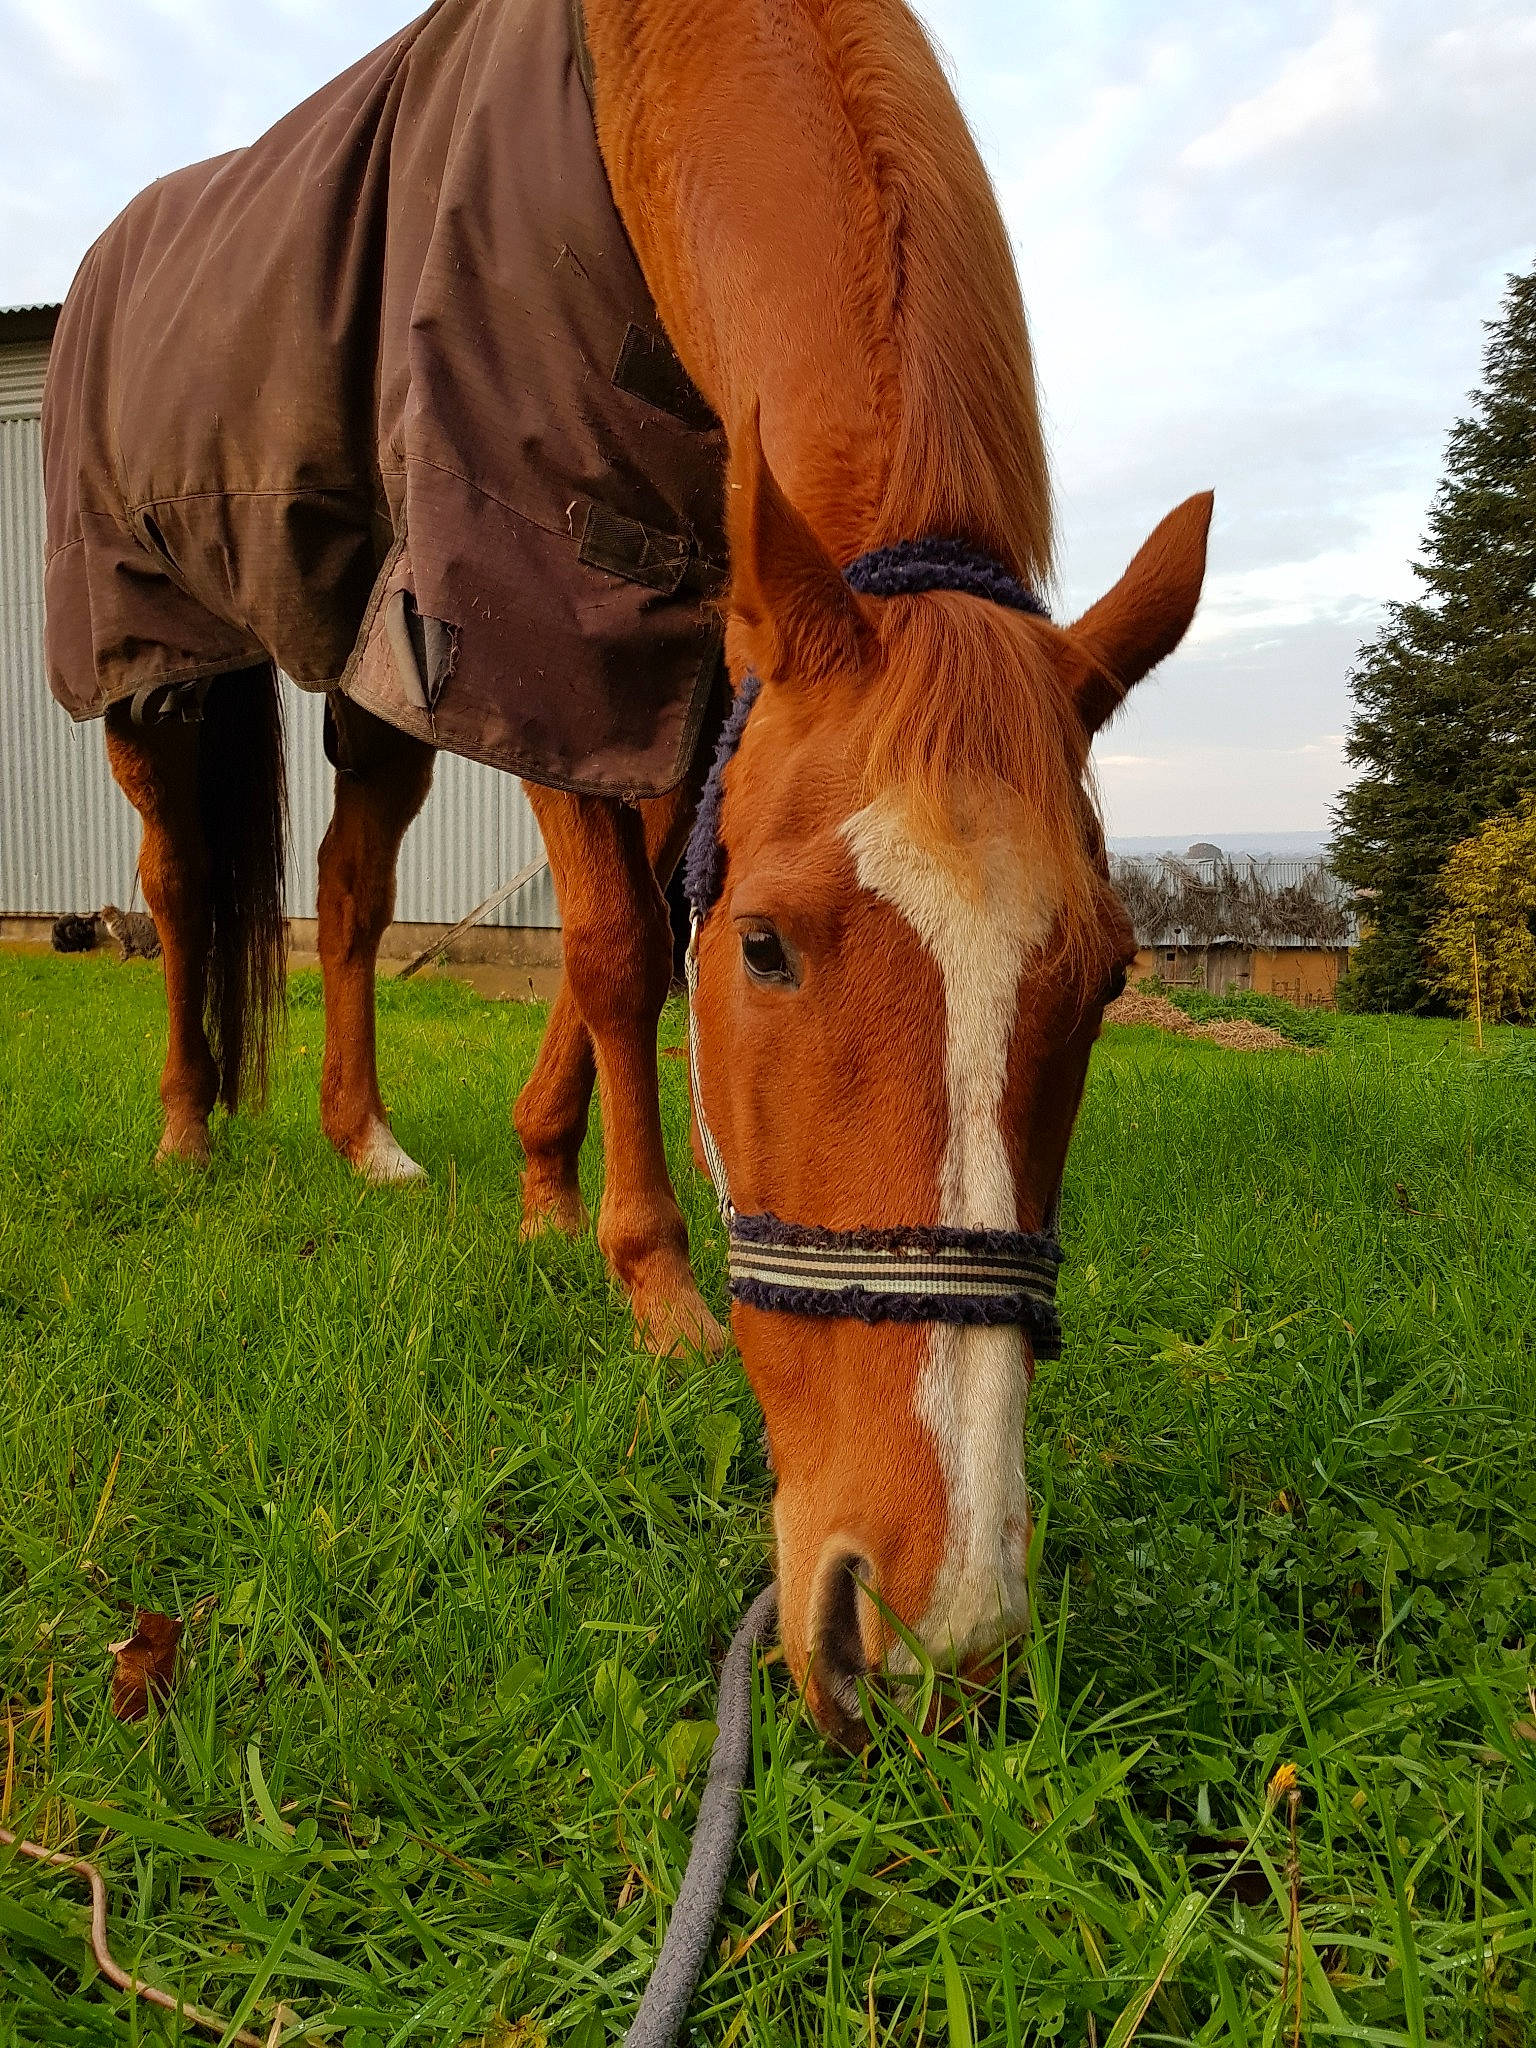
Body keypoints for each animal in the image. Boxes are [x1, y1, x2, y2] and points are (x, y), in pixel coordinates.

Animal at [46, 0, 1211, 1744]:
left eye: (1111, 972)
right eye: (774, 949)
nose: (932, 1637)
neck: (634, 109)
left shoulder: (692, 652)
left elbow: (644, 937)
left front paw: (545, 1187)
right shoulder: (543, 616)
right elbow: (611, 947)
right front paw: (651, 1283)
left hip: (370, 672)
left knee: (348, 886)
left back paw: (366, 1142)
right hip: (153, 654)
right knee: (184, 880)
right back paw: (190, 1131)